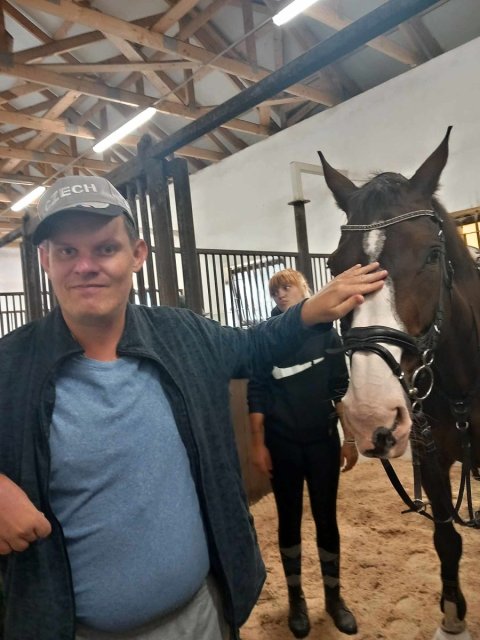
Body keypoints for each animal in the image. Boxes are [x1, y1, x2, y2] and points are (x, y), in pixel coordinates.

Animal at [317, 128, 480, 640]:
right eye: (334, 266)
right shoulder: (431, 460)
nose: (369, 415)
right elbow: (446, 537)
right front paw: (452, 617)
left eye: (432, 254)